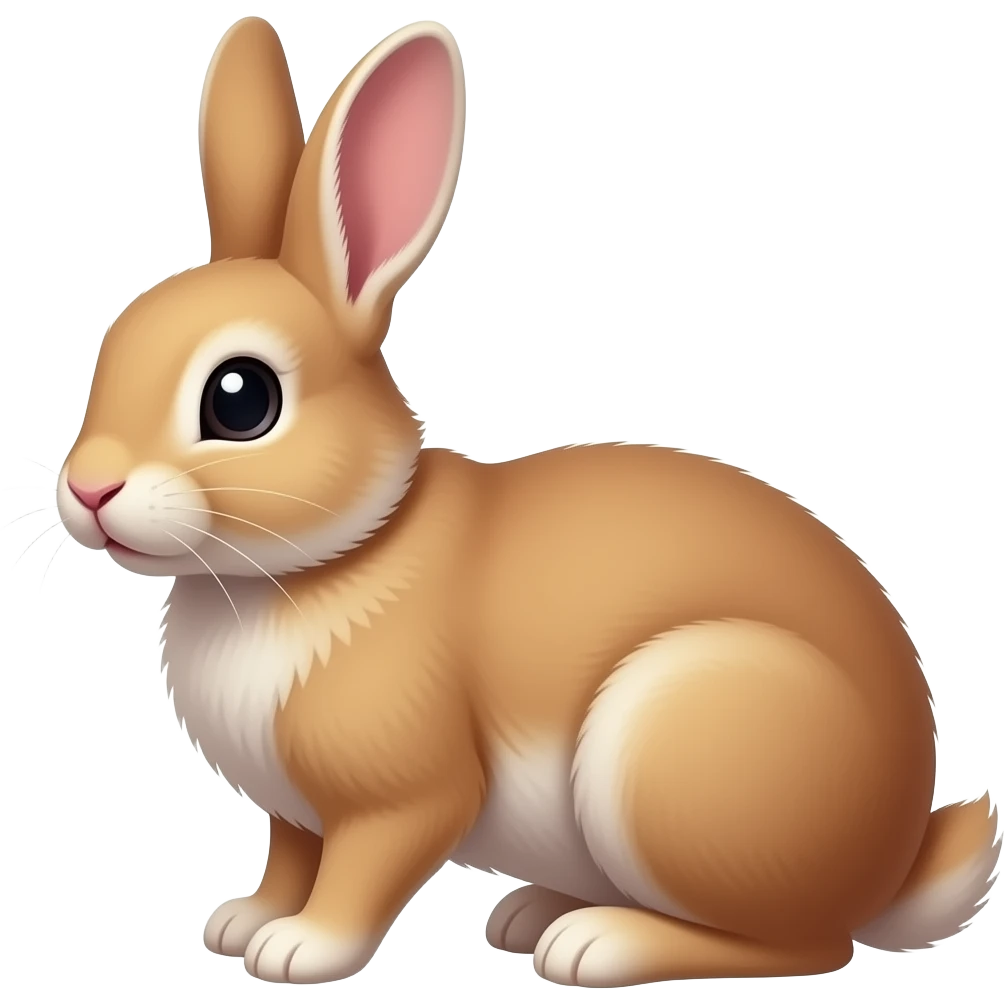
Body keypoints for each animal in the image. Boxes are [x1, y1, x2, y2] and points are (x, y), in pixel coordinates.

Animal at [55, 15, 1000, 988]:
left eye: (240, 400)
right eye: (110, 346)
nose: (88, 487)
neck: (333, 554)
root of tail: (893, 860)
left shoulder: (403, 794)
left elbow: (361, 870)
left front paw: (301, 948)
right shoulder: (294, 813)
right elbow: (288, 856)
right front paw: (242, 921)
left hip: (674, 748)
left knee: (802, 944)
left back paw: (595, 942)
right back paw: (532, 912)